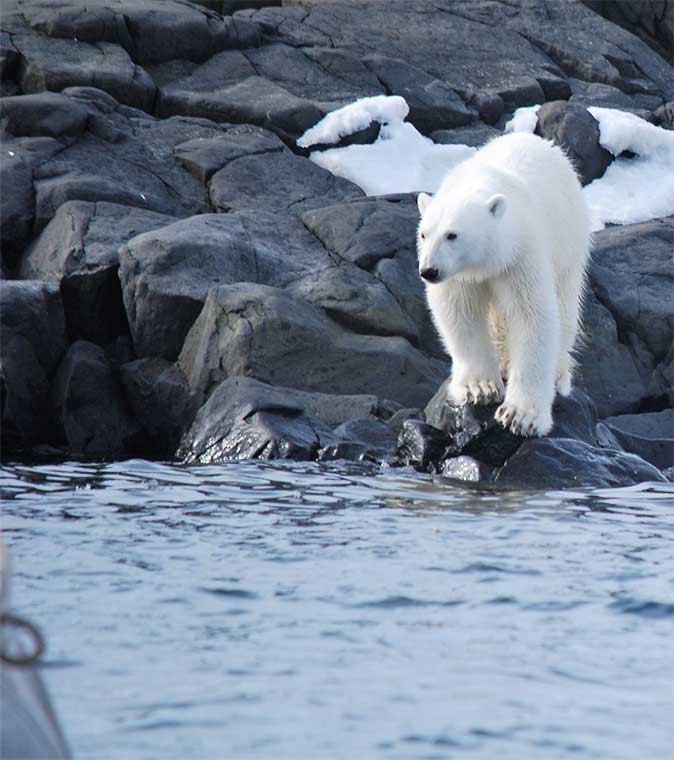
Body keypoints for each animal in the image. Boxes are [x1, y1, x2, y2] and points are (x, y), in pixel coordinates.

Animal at [414, 134, 588, 436]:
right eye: (424, 234)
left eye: (452, 235)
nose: (429, 271)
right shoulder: (460, 277)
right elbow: (459, 313)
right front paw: (480, 387)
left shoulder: (520, 255)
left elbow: (532, 315)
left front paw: (522, 415)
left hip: (569, 241)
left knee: (565, 306)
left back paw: (557, 372)